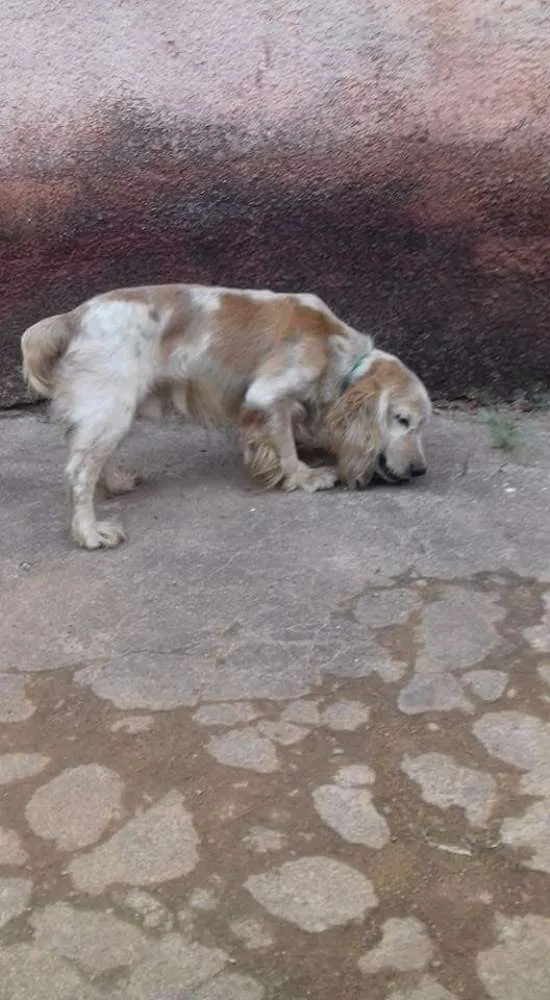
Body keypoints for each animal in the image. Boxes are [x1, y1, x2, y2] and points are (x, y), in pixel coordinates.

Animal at [22, 282, 432, 552]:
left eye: (421, 424)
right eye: (402, 419)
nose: (419, 470)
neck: (335, 348)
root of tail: (72, 318)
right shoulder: (267, 393)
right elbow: (284, 445)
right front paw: (306, 475)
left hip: (111, 413)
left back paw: (116, 483)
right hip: (113, 408)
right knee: (79, 473)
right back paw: (90, 533)